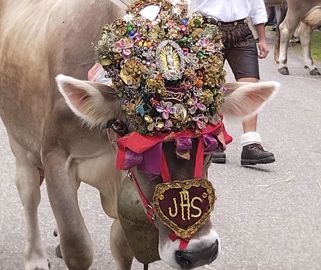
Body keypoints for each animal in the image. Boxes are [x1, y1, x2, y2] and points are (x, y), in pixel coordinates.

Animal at [0, 0, 278, 270]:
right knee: (29, 193)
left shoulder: (127, 182)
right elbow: (78, 246)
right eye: (144, 155)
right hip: (21, 142)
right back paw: (35, 258)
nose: (200, 252)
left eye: (209, 151)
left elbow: (122, 247)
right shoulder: (55, 155)